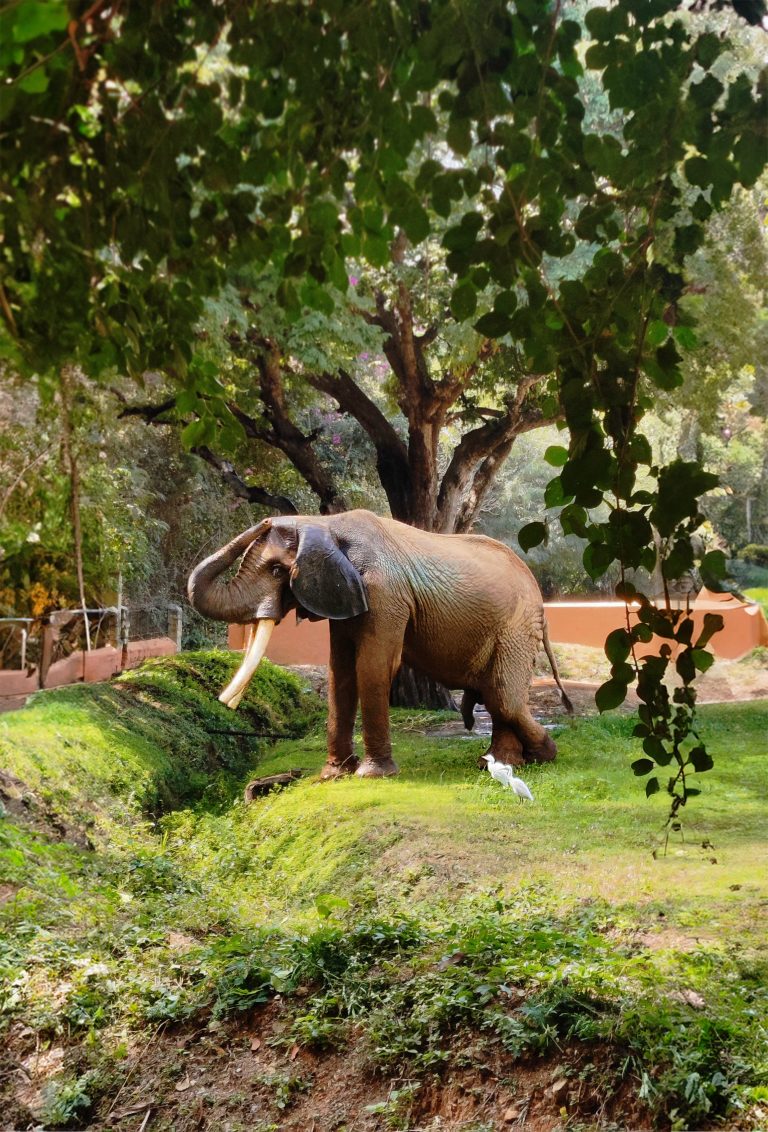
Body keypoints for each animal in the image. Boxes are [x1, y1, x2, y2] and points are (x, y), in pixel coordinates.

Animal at [186, 511, 570, 778]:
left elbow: (371, 665)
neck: (325, 523)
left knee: (502, 695)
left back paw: (543, 754)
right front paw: (332, 776)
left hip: (516, 627)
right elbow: (340, 671)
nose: (265, 520)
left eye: (278, 571)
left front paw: (371, 775)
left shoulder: (384, 593)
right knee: (496, 694)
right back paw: (499, 764)